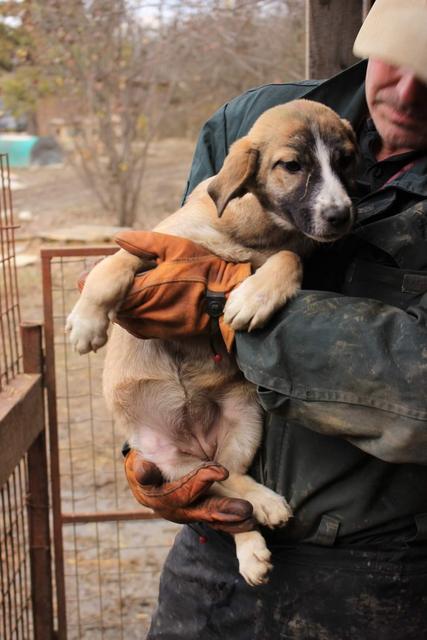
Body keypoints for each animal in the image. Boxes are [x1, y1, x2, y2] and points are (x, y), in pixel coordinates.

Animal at [67, 100, 358, 584]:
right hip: (169, 462)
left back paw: (261, 519)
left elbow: (289, 257)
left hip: (245, 421)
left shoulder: (290, 251)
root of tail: (196, 445)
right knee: (215, 483)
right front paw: (86, 322)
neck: (252, 233)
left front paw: (254, 296)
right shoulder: (157, 245)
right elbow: (114, 264)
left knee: (227, 480)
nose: (342, 216)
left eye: (346, 160)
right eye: (292, 166)